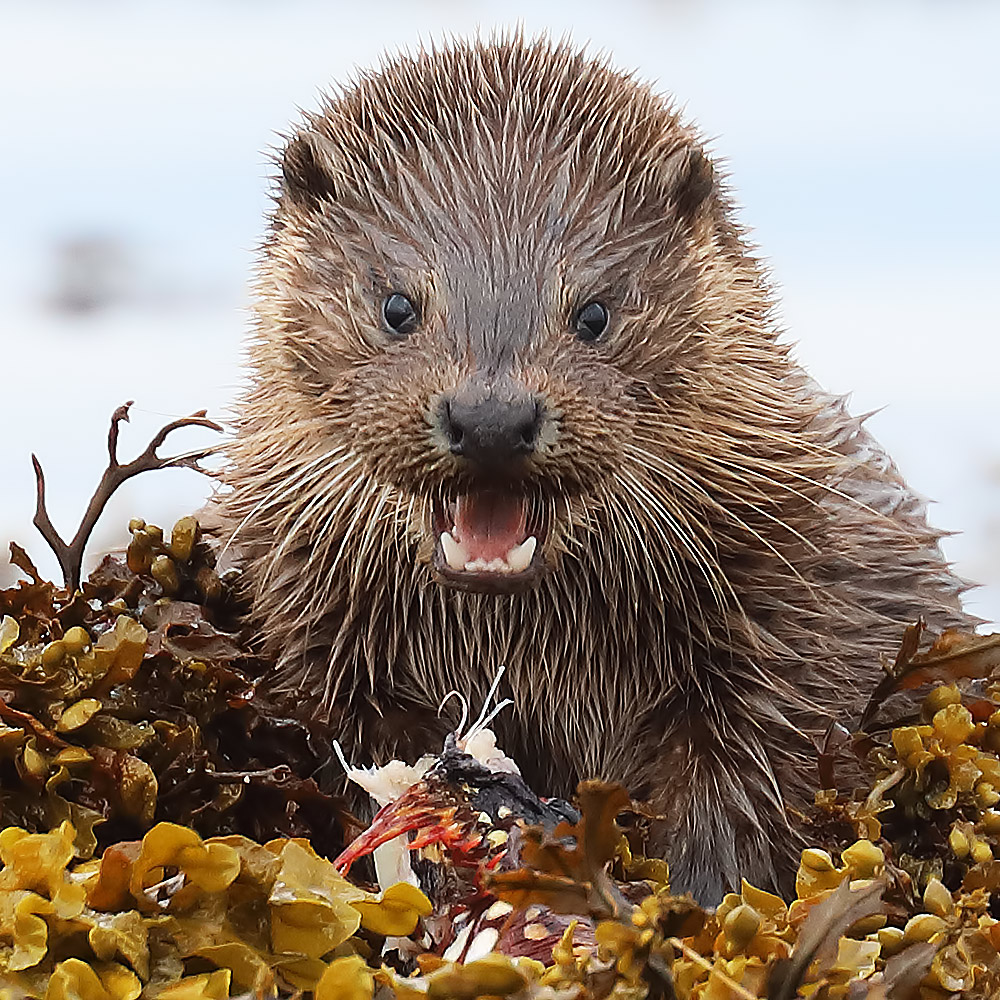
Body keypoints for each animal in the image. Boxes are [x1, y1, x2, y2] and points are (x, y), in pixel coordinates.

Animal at [220, 36, 971, 902]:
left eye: (594, 313)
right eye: (397, 307)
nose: (491, 419)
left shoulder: (785, 628)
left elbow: (746, 785)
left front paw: (697, 897)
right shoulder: (322, 639)